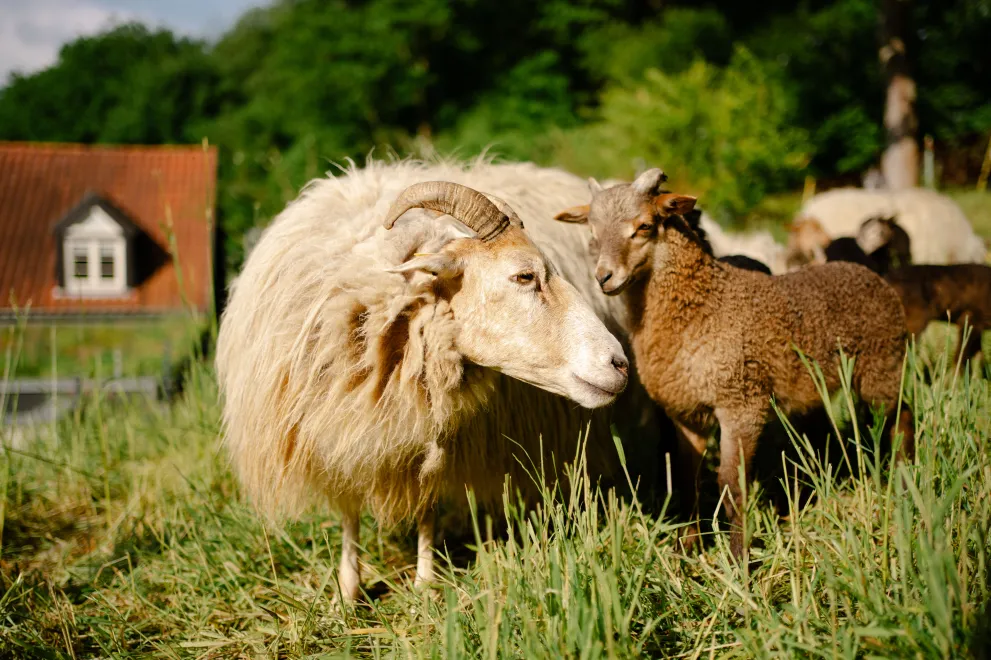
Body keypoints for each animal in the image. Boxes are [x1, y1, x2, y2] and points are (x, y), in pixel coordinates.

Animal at [216, 158, 670, 601]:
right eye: (524, 276)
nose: (619, 364)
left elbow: (427, 504)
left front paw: (425, 583)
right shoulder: (334, 426)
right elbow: (348, 509)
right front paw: (348, 591)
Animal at [554, 168, 915, 557]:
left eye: (645, 225)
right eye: (592, 231)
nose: (604, 277)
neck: (705, 303)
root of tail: (867, 273)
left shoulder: (742, 405)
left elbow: (732, 483)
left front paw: (740, 556)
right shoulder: (687, 414)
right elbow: (687, 476)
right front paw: (689, 545)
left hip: (883, 366)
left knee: (902, 416)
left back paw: (903, 477)